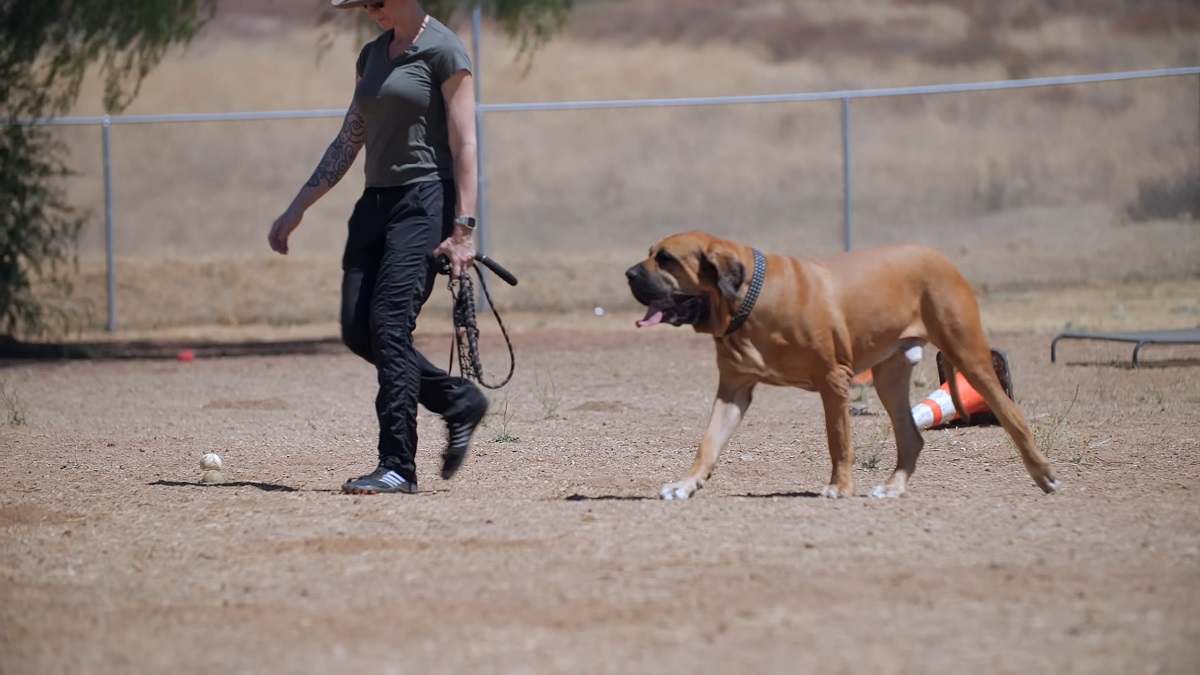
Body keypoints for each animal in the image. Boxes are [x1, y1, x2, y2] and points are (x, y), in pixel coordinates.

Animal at [628, 230, 1060, 499]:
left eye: (666, 260)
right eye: (650, 254)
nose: (629, 273)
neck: (749, 297)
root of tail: (943, 259)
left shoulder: (832, 380)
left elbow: (838, 439)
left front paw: (839, 486)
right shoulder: (733, 389)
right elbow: (709, 441)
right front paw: (685, 484)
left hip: (968, 355)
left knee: (1011, 415)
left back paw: (1044, 475)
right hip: (889, 375)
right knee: (911, 435)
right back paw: (894, 486)